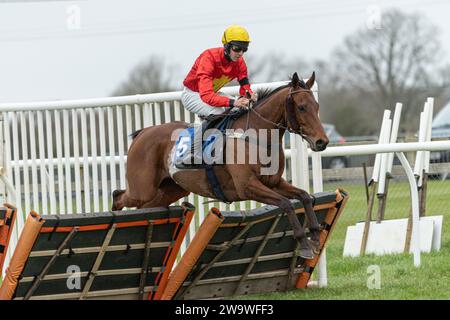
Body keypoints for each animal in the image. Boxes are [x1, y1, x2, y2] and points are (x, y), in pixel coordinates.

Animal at [111, 71, 330, 258]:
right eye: (302, 107)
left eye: (317, 107)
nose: (322, 142)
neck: (256, 136)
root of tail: (144, 132)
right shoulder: (247, 186)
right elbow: (286, 204)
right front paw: (304, 245)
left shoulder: (274, 183)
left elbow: (305, 196)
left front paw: (315, 237)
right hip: (142, 189)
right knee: (118, 196)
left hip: (172, 189)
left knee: (145, 206)